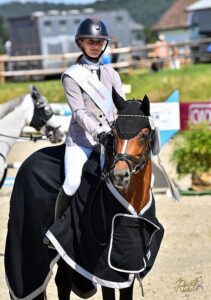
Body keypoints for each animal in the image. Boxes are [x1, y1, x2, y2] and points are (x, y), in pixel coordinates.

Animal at [4, 88, 164, 298]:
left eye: (144, 135)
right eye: (114, 133)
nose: (120, 175)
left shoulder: (129, 262)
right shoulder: (104, 267)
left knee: (63, 281)